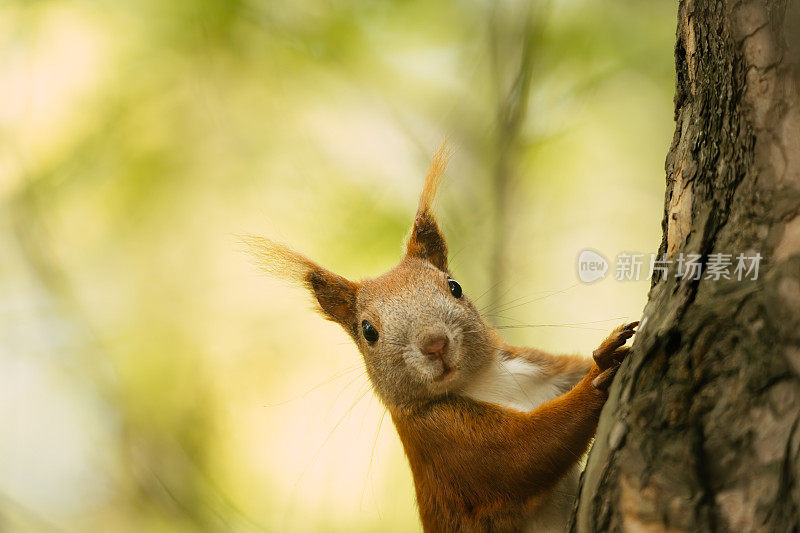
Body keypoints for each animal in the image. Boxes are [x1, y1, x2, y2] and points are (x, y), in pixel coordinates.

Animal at [247, 143, 636, 528]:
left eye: (454, 286)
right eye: (368, 331)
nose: (435, 344)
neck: (485, 380)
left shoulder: (542, 366)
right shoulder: (442, 440)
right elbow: (525, 452)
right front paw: (598, 374)